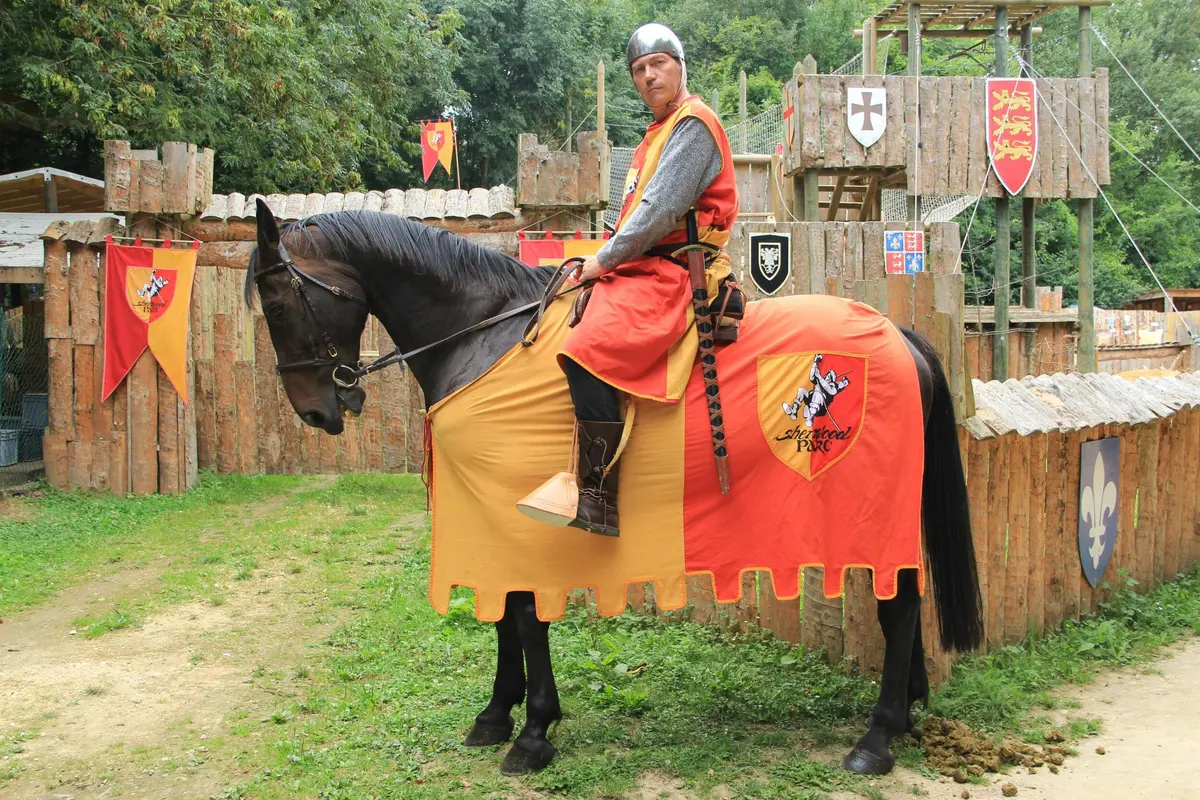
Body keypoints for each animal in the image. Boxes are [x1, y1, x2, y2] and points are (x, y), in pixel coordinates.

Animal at [245, 199, 983, 777]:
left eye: (278, 303)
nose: (315, 411)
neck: (488, 338)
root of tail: (899, 335)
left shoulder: (515, 514)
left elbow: (523, 614)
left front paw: (533, 731)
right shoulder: (489, 514)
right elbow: (504, 612)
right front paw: (497, 713)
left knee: (900, 608)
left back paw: (877, 738)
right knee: (902, 599)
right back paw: (905, 714)